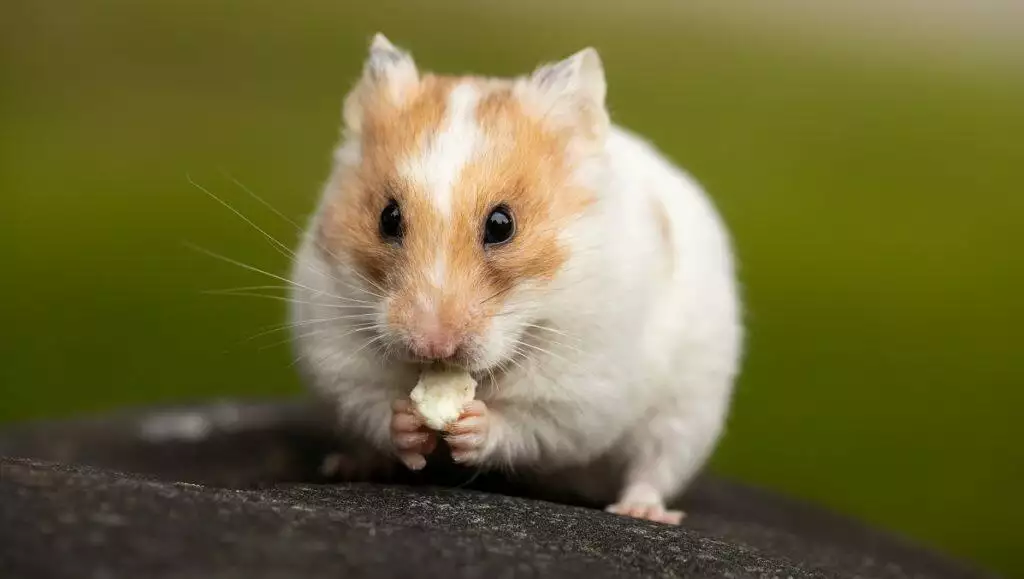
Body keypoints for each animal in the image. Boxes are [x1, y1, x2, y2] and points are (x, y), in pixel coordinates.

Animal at [290, 33, 743, 524]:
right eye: (388, 218)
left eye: (502, 225)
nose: (433, 346)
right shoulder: (338, 348)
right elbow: (373, 403)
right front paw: (409, 424)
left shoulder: (579, 386)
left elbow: (527, 425)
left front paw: (472, 425)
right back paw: (348, 464)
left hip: (688, 411)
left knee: (654, 466)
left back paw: (641, 511)